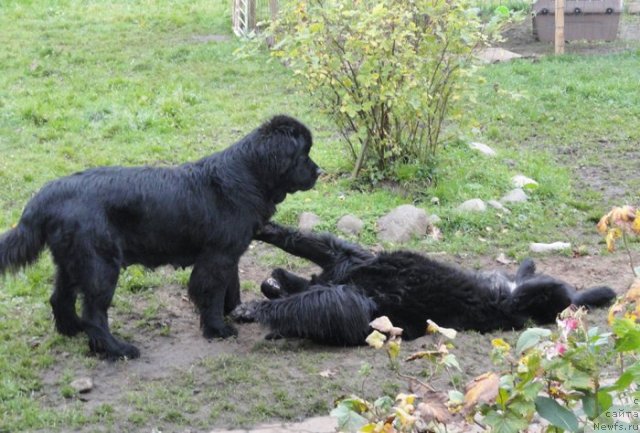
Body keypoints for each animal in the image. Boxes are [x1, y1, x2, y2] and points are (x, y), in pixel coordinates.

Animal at [0, 114, 320, 358]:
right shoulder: (217, 256)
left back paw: (73, 330)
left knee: (60, 298)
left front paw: (238, 313)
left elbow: (231, 288)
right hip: (101, 265)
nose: (320, 171)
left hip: (71, 262)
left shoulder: (229, 254)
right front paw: (217, 329)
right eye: (303, 154)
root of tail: (46, 194)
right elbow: (212, 293)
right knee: (94, 313)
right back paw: (116, 350)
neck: (248, 176)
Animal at [232, 223, 616, 344]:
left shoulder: (347, 295)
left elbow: (296, 303)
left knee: (565, 295)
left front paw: (257, 308)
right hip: (530, 290)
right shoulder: (346, 259)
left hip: (539, 296)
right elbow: (295, 240)